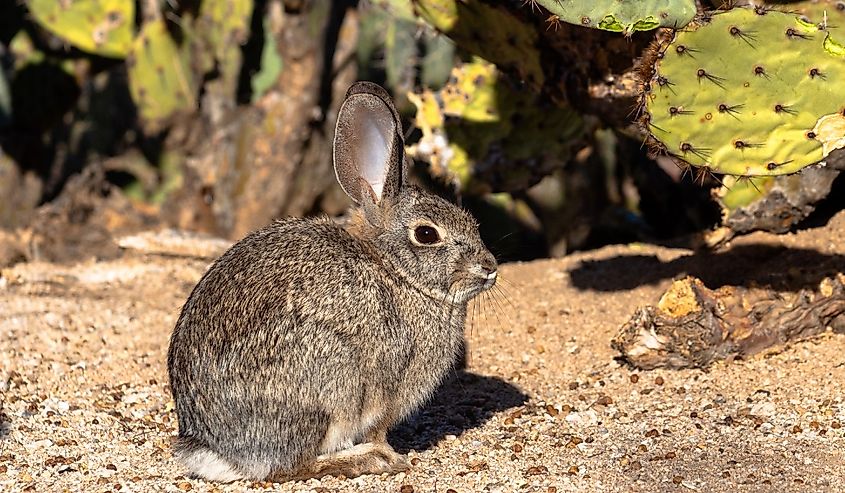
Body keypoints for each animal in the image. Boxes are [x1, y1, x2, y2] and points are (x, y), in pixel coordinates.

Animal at [166, 80, 498, 480]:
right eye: (427, 235)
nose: (489, 267)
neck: (396, 271)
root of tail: (213, 449)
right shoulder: (387, 389)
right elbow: (378, 429)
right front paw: (391, 456)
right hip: (331, 387)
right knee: (290, 466)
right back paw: (366, 459)